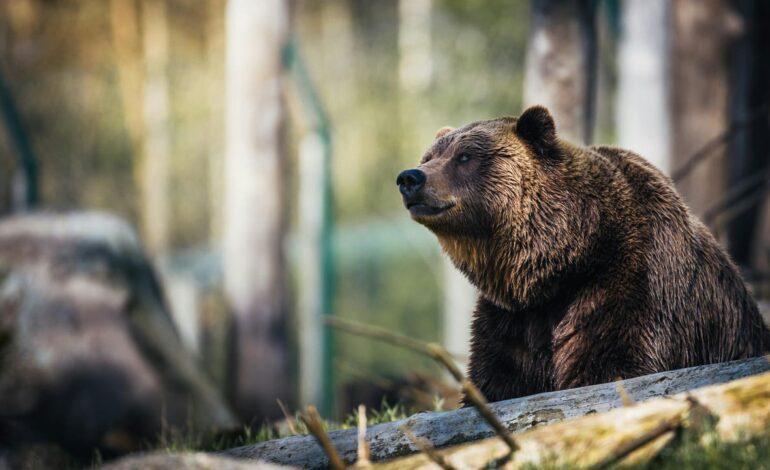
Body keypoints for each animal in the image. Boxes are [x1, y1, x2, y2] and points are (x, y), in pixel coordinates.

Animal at [396, 105, 770, 403]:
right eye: (429, 157)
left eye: (465, 157)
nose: (410, 177)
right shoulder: (512, 319)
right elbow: (498, 379)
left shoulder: (630, 284)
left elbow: (611, 364)